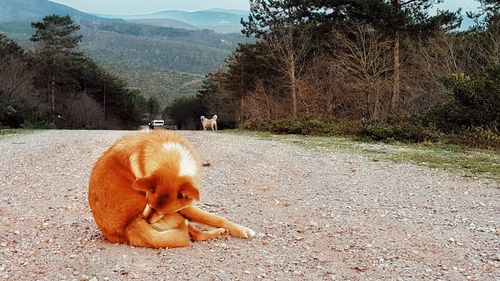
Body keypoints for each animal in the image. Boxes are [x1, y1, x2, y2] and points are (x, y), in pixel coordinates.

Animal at [86, 130, 256, 247]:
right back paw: (218, 232)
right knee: (194, 235)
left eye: (161, 212)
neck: (173, 158)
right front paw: (242, 230)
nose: (146, 219)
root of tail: (130, 225)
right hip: (179, 218)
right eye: (149, 203)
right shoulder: (183, 208)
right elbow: (214, 217)